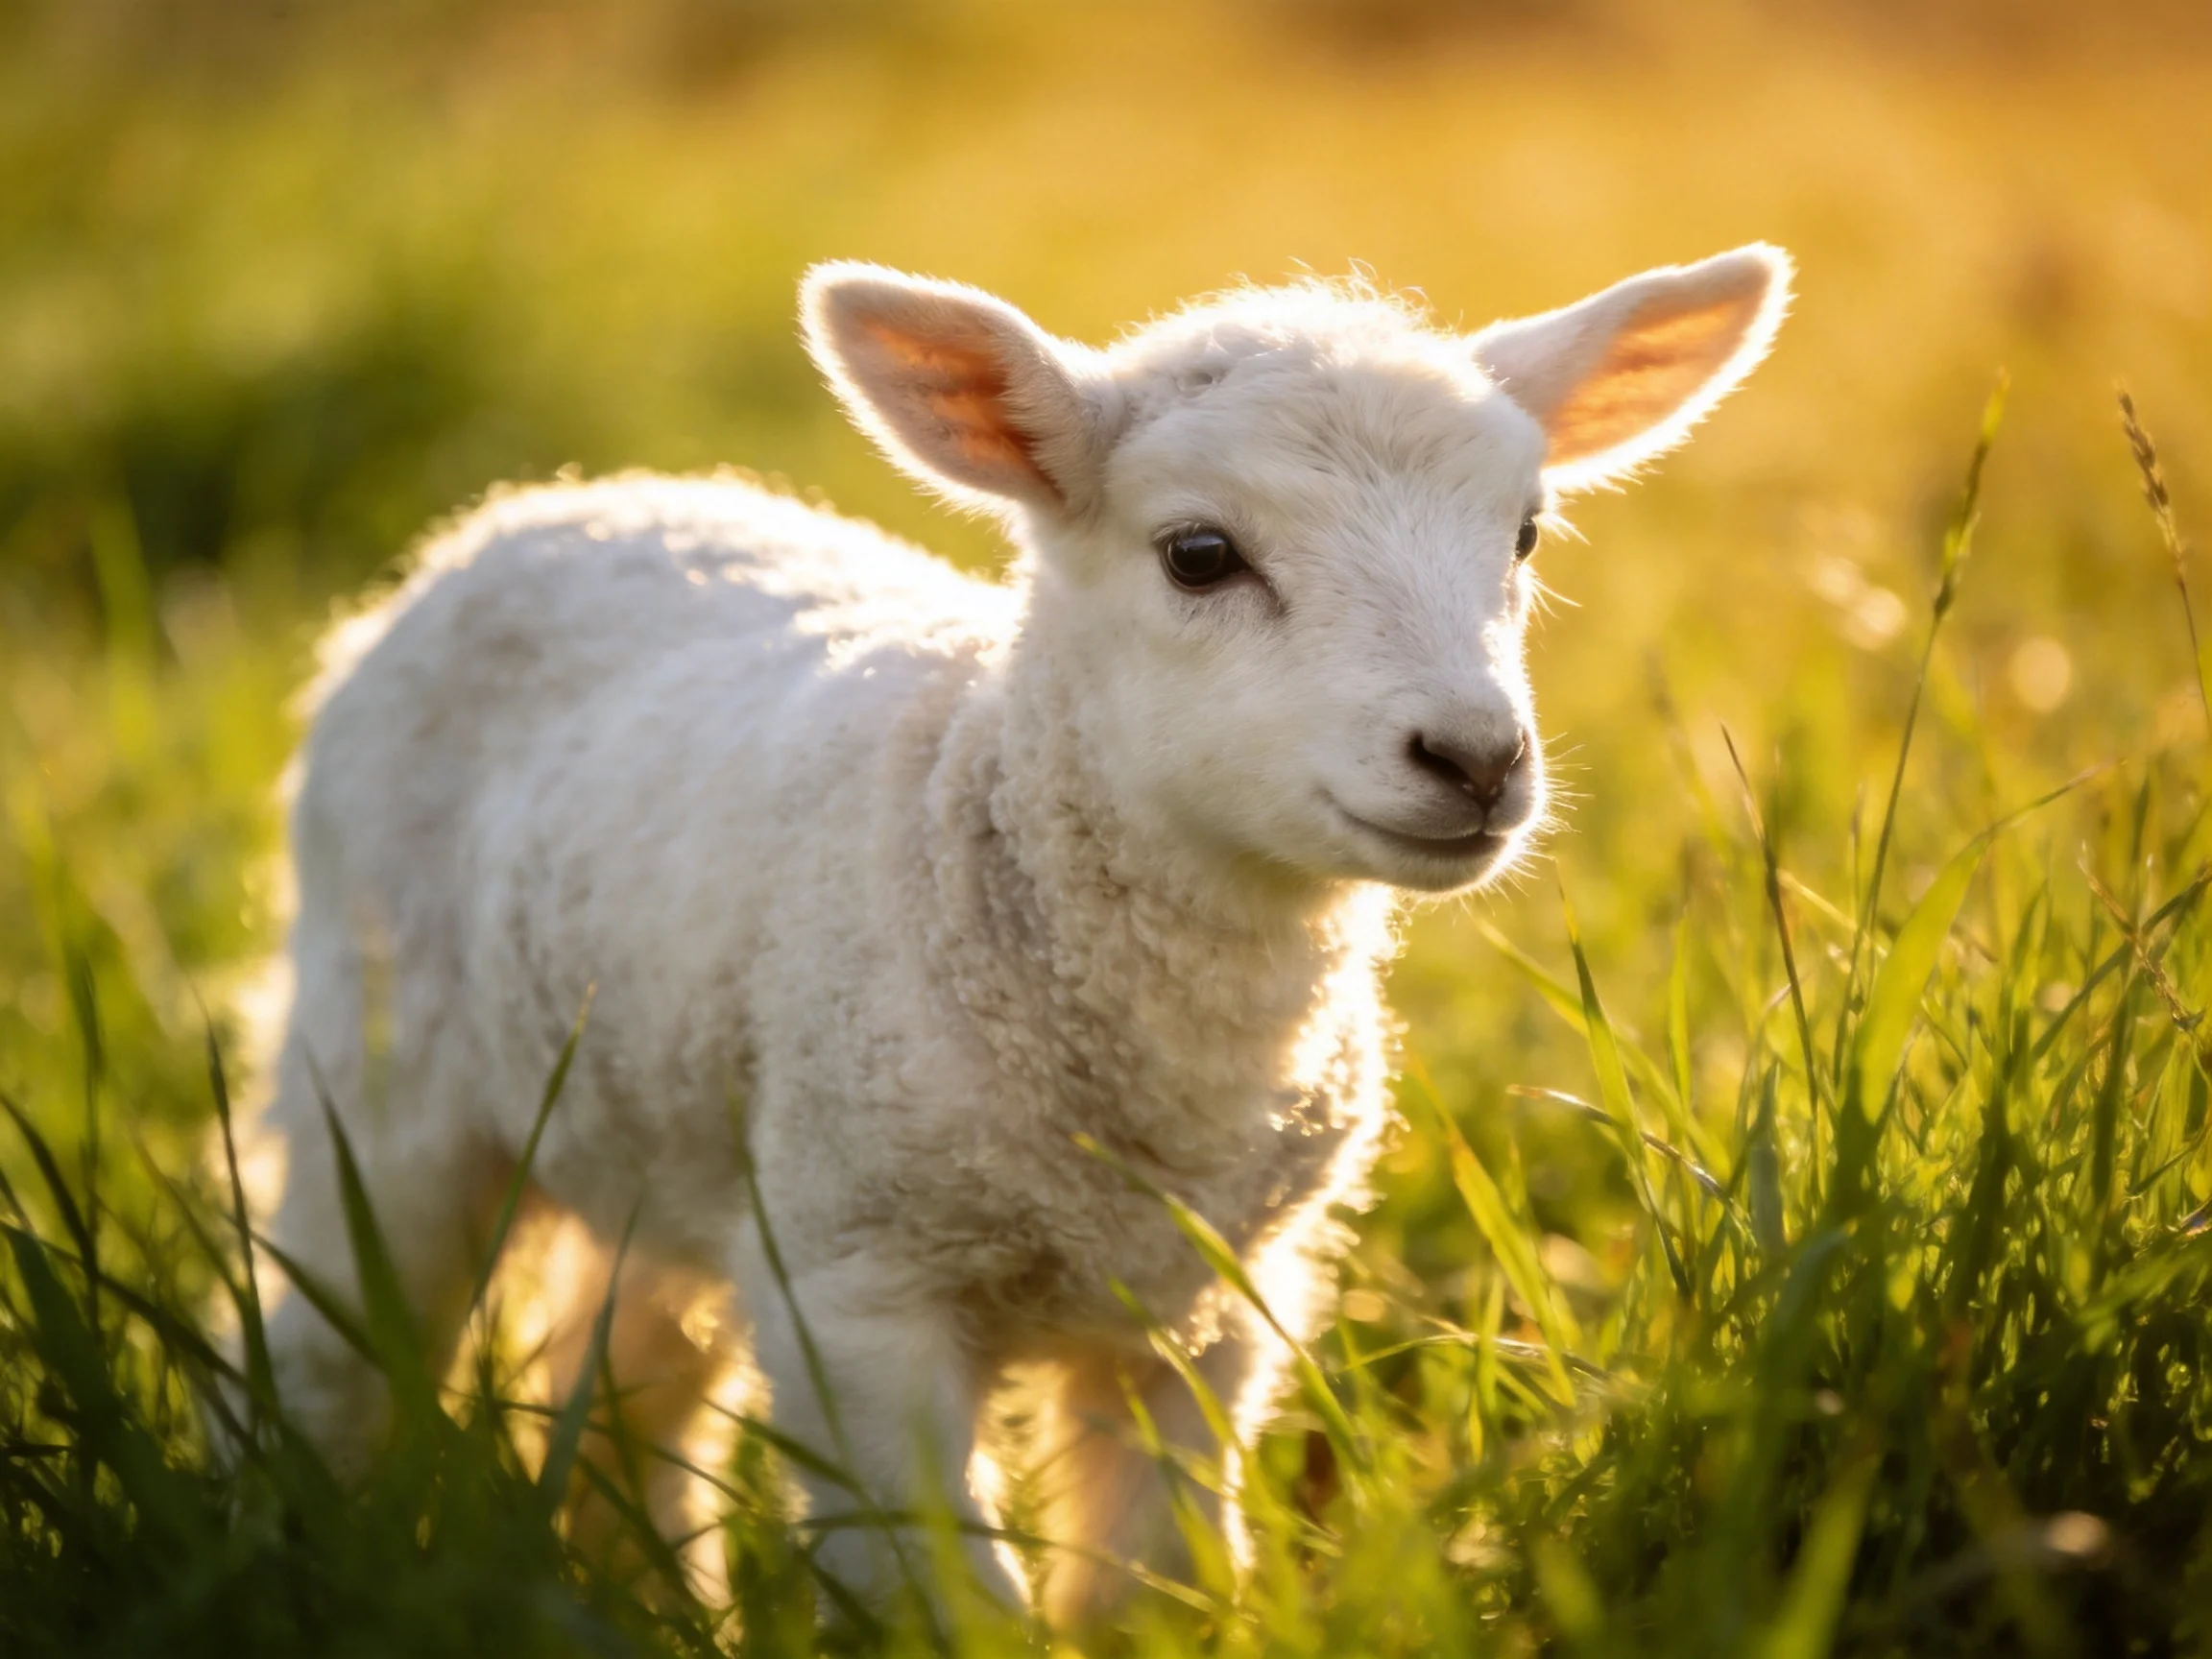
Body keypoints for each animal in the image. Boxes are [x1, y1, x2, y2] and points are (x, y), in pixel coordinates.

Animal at [250, 245, 1791, 1623]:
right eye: (1200, 554)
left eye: (1524, 534)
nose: (1475, 760)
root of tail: (556, 504)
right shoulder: (857, 1286)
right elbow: (953, 1605)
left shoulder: (1212, 1309)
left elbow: (1153, 1591)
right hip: (377, 1081)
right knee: (327, 1357)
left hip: (661, 1138)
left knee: (627, 1391)